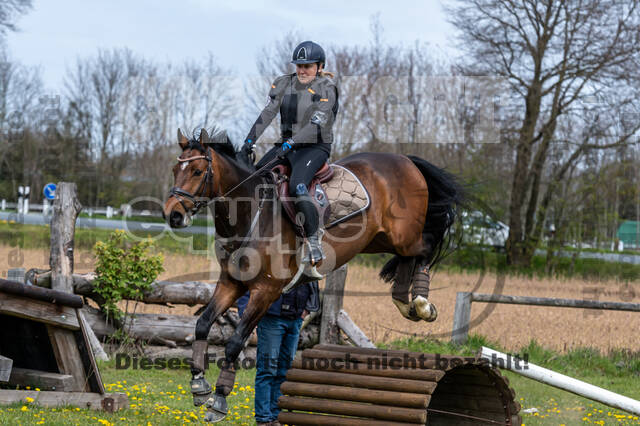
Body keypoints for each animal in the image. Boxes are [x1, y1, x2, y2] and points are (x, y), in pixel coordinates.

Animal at [160, 128, 460, 422]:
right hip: (378, 239)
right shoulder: (231, 284)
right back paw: (405, 302)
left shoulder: (264, 292)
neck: (250, 214)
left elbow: (235, 342)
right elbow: (202, 324)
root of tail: (406, 160)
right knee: (409, 257)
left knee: (426, 246)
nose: (172, 215)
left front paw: (220, 399)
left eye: (197, 171)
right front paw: (199, 385)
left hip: (403, 235)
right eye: (175, 169)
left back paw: (422, 303)